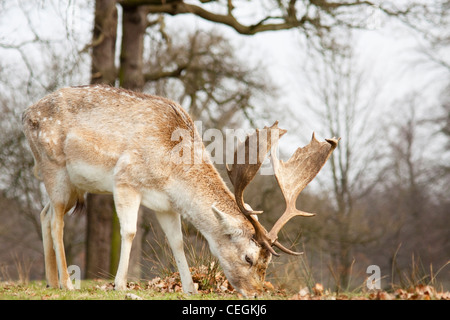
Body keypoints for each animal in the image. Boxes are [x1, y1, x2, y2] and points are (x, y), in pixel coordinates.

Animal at [21, 85, 338, 298]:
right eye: (249, 258)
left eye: (268, 262)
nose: (256, 293)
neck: (171, 170)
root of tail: (25, 113)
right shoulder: (125, 179)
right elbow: (129, 232)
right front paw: (119, 284)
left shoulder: (166, 204)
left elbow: (177, 241)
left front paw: (190, 288)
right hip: (54, 167)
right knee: (57, 221)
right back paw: (67, 282)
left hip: (71, 185)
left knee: (45, 213)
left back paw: (51, 281)